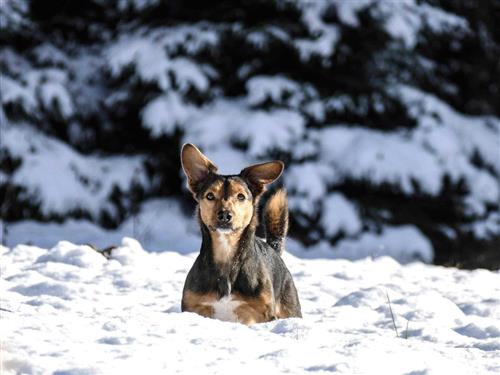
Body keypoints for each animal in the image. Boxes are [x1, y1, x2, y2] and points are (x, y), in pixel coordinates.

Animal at [182, 144, 302, 326]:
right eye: (210, 196)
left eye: (241, 196)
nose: (225, 215)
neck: (227, 252)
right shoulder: (193, 307)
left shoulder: (264, 314)